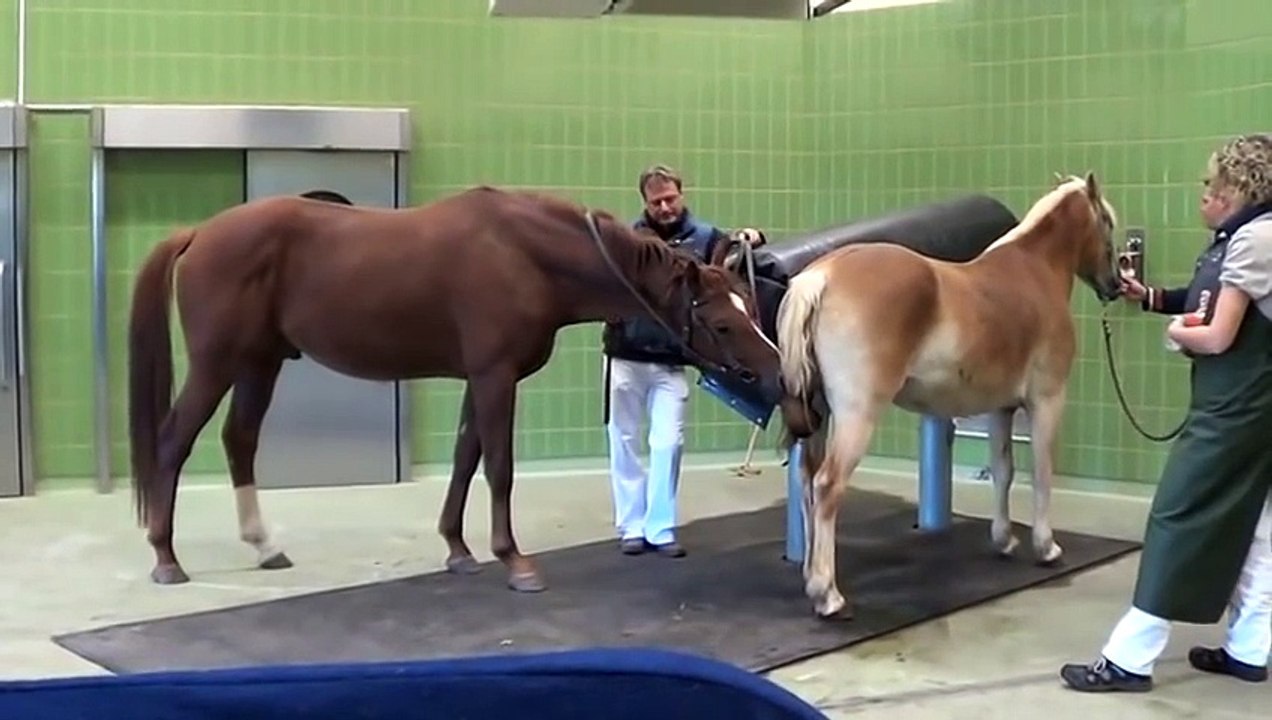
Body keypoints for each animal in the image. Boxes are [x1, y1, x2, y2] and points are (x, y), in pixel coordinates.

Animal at [126, 185, 784, 593]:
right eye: (722, 322)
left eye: (750, 306)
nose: (777, 373)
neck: (526, 255)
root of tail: (199, 232)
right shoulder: (495, 376)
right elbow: (498, 467)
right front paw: (514, 561)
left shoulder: (480, 377)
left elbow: (467, 458)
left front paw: (459, 551)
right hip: (217, 364)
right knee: (173, 442)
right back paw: (165, 559)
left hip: (260, 363)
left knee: (239, 440)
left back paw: (264, 548)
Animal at [774, 173, 1122, 619]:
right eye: (1107, 221)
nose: (1116, 284)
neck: (1033, 270)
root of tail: (823, 276)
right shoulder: (1047, 400)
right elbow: (1042, 474)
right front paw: (1046, 548)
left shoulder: (1001, 408)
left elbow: (1004, 471)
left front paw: (1004, 540)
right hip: (856, 415)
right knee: (827, 485)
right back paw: (828, 595)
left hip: (819, 416)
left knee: (806, 481)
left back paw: (811, 579)